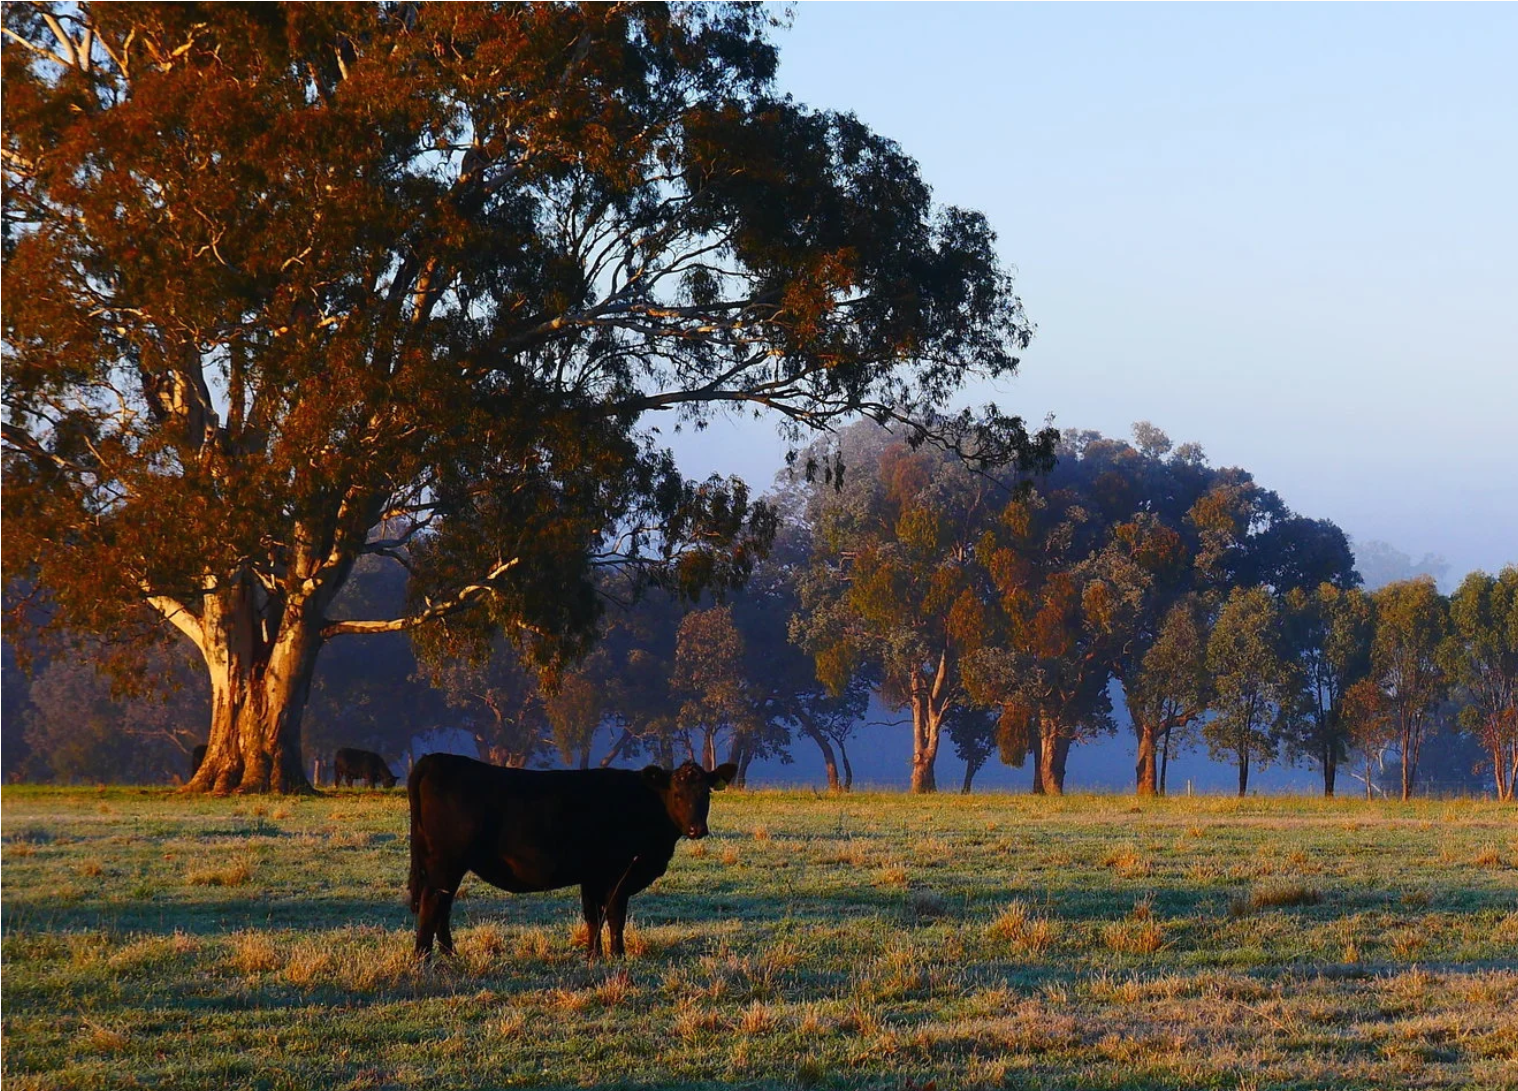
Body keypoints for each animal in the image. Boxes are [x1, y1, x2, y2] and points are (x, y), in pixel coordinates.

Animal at [407, 752, 737, 959]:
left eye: (706, 793)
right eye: (677, 794)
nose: (697, 829)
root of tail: (434, 759)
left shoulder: (591, 876)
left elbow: (593, 917)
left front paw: (594, 955)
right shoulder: (618, 873)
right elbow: (615, 917)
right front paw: (618, 955)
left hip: (443, 865)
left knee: (442, 907)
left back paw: (450, 956)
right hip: (446, 862)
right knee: (432, 905)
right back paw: (424, 960)